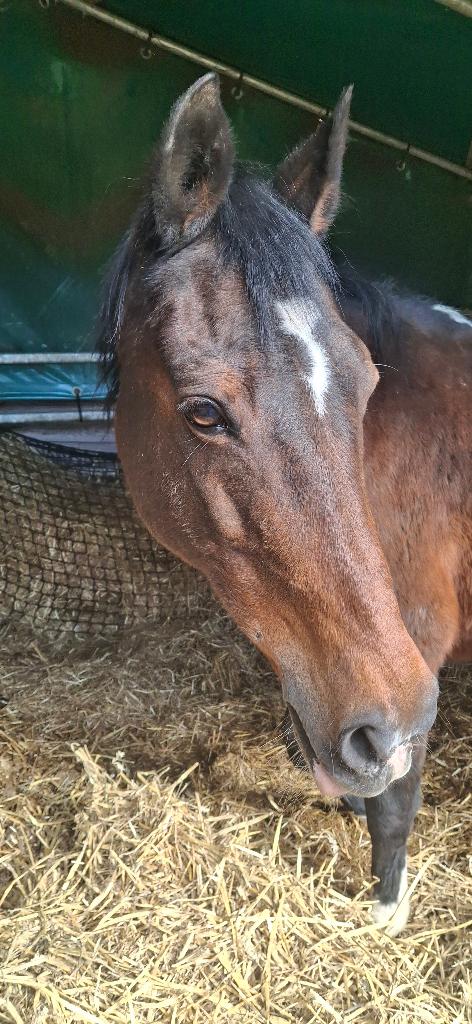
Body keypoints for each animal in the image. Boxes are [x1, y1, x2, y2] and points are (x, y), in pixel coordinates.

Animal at [97, 74, 471, 935]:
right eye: (204, 412)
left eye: (365, 386)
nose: (386, 720)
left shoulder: (415, 652)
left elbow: (396, 798)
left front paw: (385, 912)